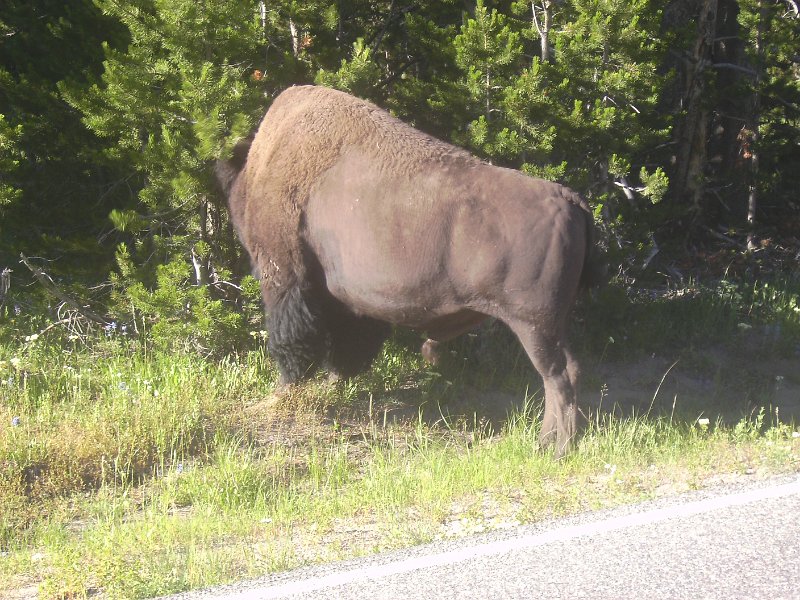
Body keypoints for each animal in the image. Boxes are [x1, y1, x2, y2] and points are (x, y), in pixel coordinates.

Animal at [216, 84, 604, 458]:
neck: (262, 165)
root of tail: (569, 199)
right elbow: (346, 347)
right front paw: (333, 383)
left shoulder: (286, 274)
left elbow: (291, 340)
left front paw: (279, 395)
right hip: (550, 324)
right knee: (565, 373)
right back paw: (551, 443)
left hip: (533, 324)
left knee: (557, 376)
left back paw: (555, 448)